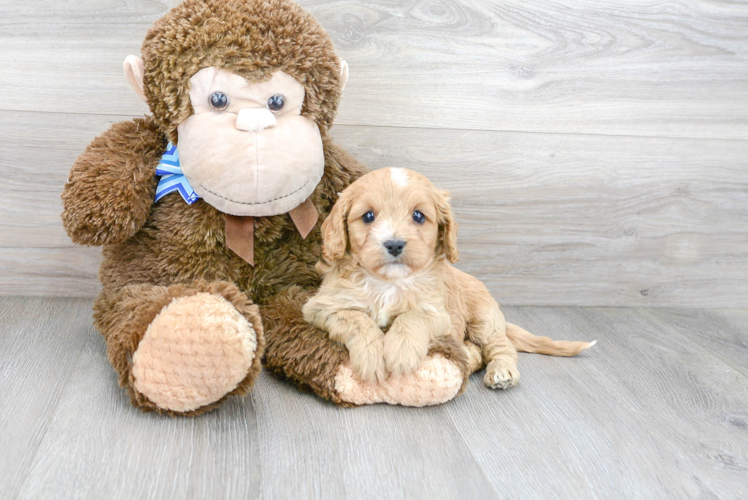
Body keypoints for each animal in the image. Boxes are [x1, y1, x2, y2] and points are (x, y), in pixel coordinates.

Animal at [300, 168, 592, 386]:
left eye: (418, 216)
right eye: (368, 216)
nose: (394, 244)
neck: (389, 283)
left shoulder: (438, 314)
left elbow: (411, 317)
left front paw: (401, 354)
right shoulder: (322, 307)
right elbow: (357, 320)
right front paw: (372, 359)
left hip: (484, 318)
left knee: (500, 346)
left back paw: (501, 372)